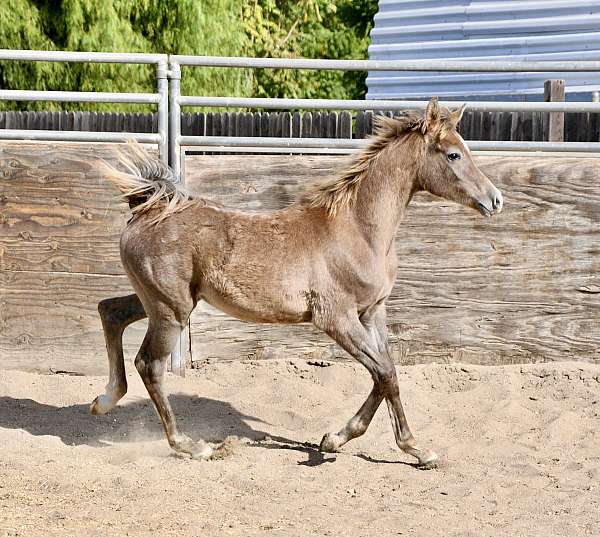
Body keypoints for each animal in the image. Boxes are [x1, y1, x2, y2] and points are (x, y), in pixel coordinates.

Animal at [90, 98, 502, 466]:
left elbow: (387, 374)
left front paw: (373, 443)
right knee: (150, 364)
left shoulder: (372, 313)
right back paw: (190, 445)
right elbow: (384, 372)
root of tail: (147, 210)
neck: (357, 229)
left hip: (160, 301)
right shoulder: (336, 318)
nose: (495, 199)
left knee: (110, 311)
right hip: (170, 310)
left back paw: (105, 399)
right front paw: (370, 444)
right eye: (453, 155)